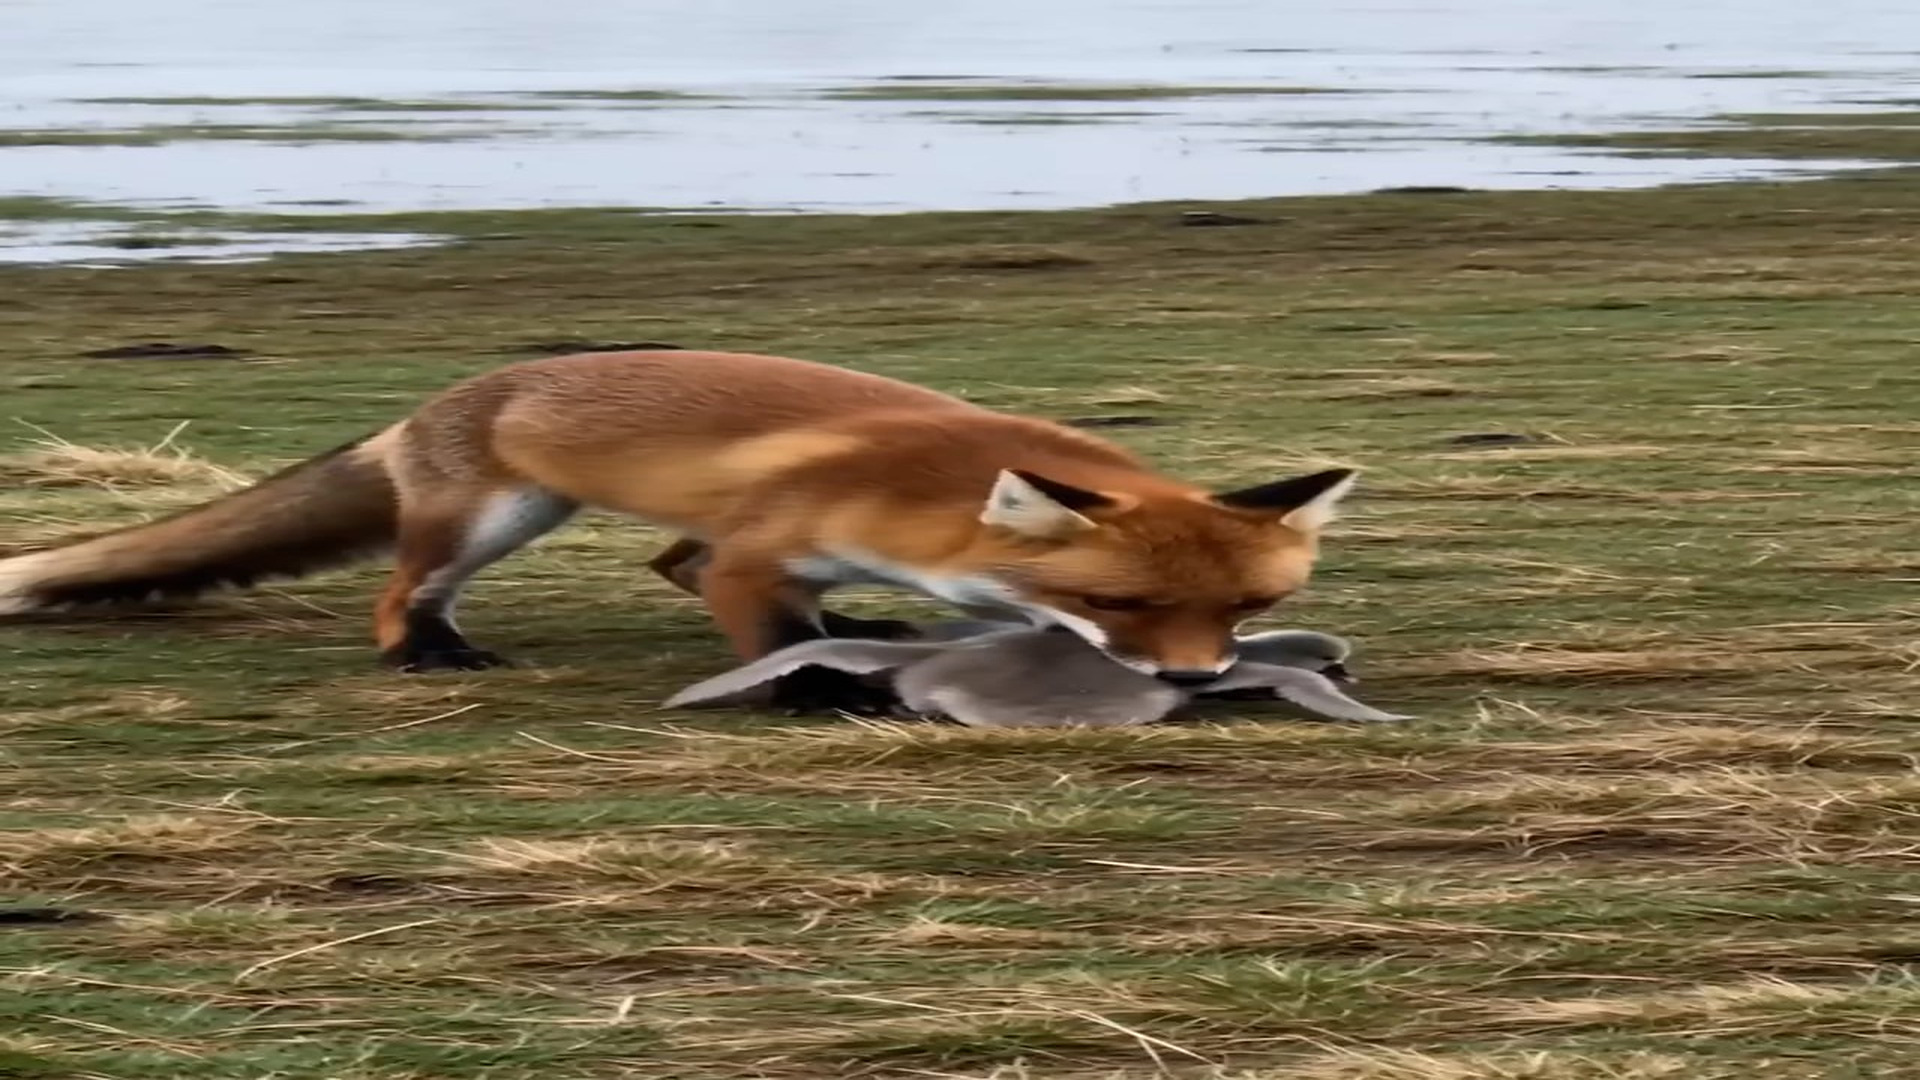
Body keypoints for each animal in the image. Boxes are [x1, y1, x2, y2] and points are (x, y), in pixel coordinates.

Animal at [0, 349, 1357, 714]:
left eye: (1250, 611)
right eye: (1120, 608)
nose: (1198, 681)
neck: (931, 502)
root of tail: (436, 400)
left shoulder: (755, 548)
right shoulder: (757, 553)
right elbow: (770, 633)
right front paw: (816, 690)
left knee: (668, 557)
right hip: (492, 517)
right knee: (400, 592)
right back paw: (427, 654)